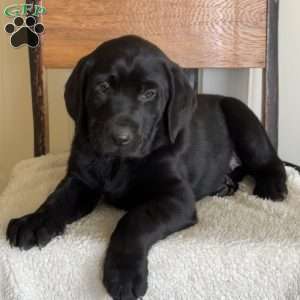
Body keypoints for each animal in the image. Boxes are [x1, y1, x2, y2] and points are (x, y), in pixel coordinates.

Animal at [7, 35, 288, 300]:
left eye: (149, 94)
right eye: (103, 87)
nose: (120, 138)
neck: (119, 162)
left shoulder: (176, 198)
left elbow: (135, 219)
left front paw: (123, 274)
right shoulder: (80, 181)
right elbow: (56, 200)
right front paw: (34, 221)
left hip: (242, 118)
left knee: (270, 161)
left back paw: (271, 187)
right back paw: (224, 184)